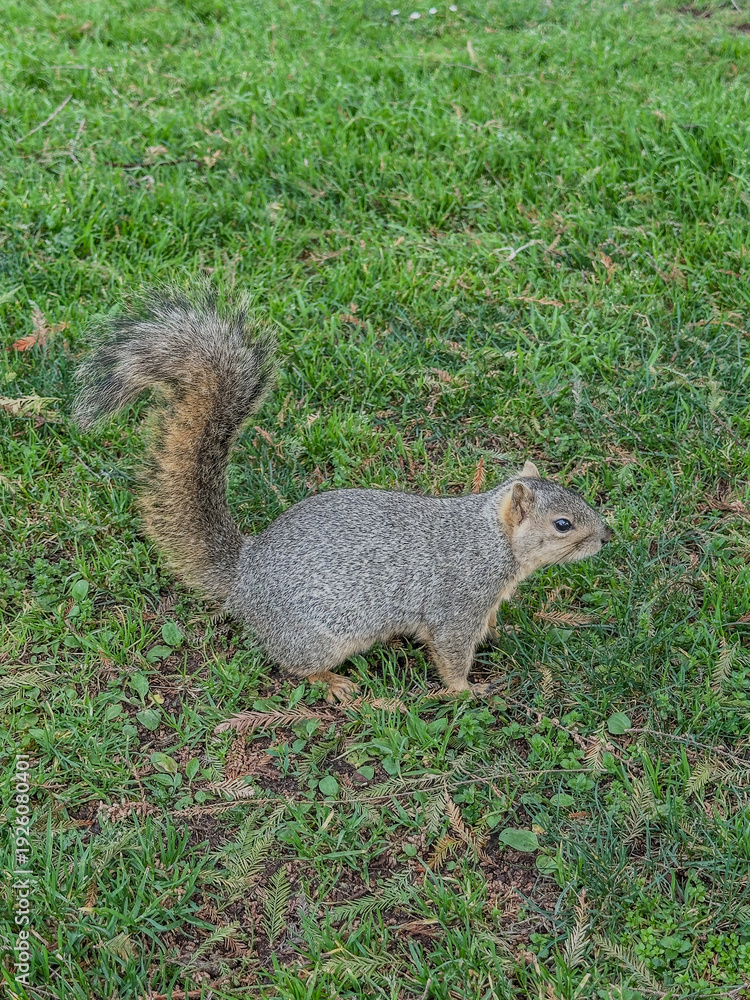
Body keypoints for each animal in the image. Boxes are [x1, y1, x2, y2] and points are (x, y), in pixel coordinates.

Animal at [73, 292, 613, 702]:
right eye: (562, 524)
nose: (606, 537)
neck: (491, 542)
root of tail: (244, 578)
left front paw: (504, 631)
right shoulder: (455, 604)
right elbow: (451, 654)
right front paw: (467, 692)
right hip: (318, 637)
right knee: (293, 665)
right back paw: (332, 683)